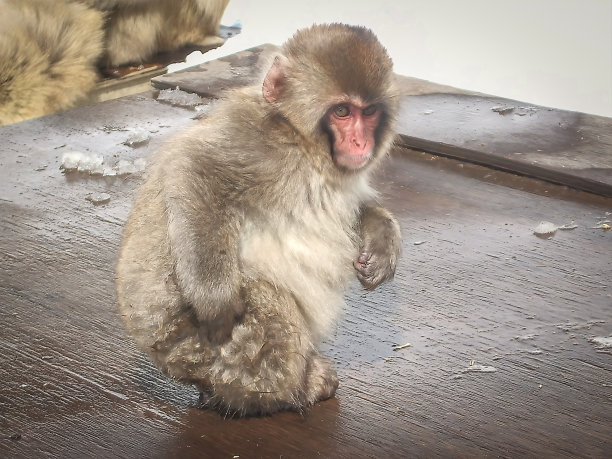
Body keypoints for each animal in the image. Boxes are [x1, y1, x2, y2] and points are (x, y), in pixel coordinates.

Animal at [116, 23, 402, 416]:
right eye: (343, 111)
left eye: (369, 111)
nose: (361, 143)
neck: (302, 143)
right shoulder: (256, 146)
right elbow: (193, 167)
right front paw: (215, 301)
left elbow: (355, 207)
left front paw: (382, 242)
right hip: (192, 345)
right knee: (265, 306)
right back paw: (293, 390)